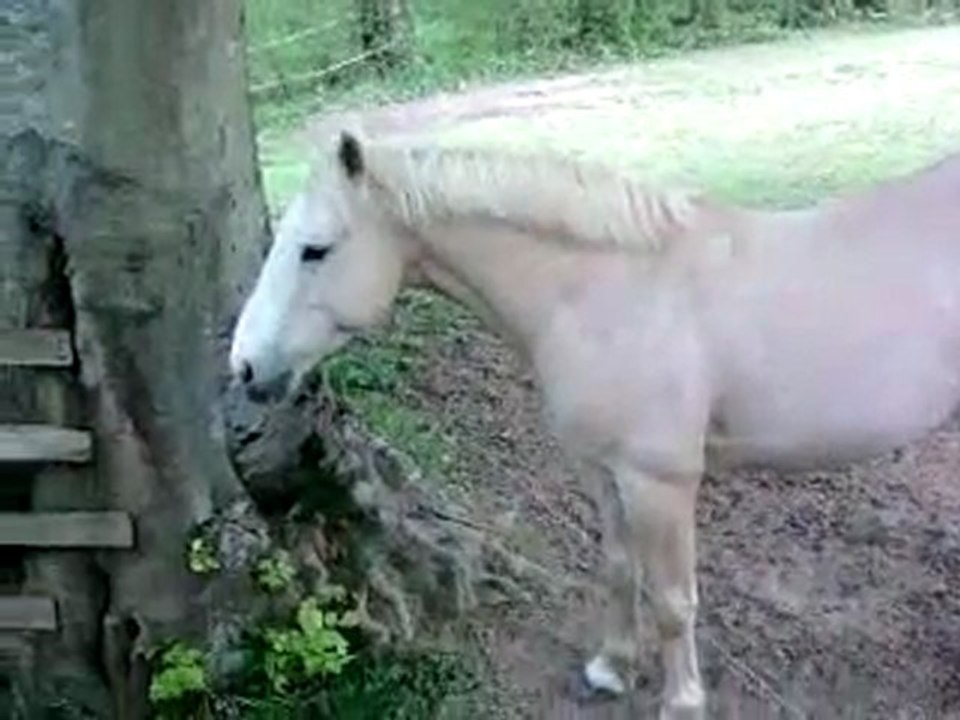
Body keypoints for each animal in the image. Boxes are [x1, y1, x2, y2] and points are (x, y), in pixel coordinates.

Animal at [229, 129, 960, 719]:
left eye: (315, 249)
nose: (244, 366)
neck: (607, 290)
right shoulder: (603, 471)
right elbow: (617, 566)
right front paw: (611, 668)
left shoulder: (659, 483)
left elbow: (672, 599)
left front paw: (681, 702)